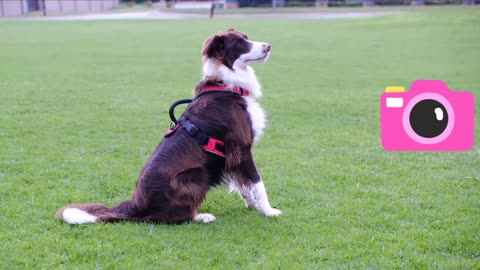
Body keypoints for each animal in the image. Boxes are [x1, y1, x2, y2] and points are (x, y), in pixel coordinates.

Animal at [56, 28, 282, 225]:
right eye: (240, 44)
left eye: (247, 38)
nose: (269, 46)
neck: (227, 85)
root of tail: (136, 205)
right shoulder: (241, 146)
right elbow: (257, 183)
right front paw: (269, 211)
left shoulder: (231, 155)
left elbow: (243, 183)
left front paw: (253, 205)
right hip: (196, 175)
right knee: (171, 218)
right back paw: (201, 217)